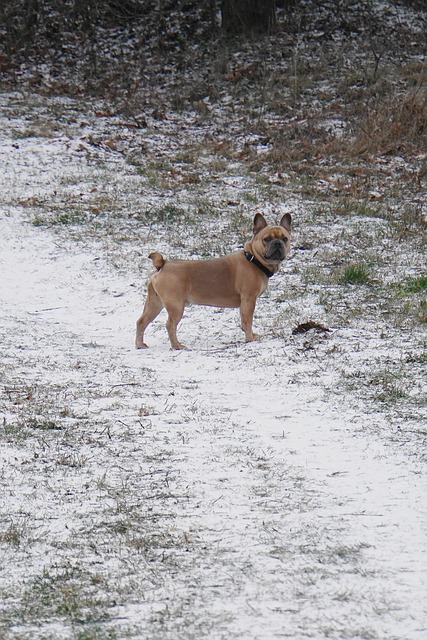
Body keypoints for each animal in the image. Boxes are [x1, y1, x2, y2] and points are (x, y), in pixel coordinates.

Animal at [135, 211, 292, 350]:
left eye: (285, 238)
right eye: (267, 239)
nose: (278, 243)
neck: (253, 259)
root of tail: (163, 264)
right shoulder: (249, 299)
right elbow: (247, 320)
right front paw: (250, 338)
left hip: (154, 303)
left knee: (141, 322)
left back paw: (140, 344)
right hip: (176, 306)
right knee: (170, 325)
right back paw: (177, 346)